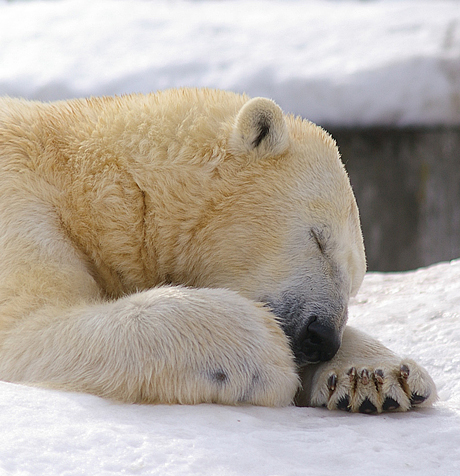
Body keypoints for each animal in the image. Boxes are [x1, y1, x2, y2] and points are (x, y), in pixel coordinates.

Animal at [0, 88, 436, 412]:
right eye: (318, 238)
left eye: (357, 281)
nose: (322, 335)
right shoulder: (20, 203)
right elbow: (28, 328)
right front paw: (263, 355)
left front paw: (378, 376)